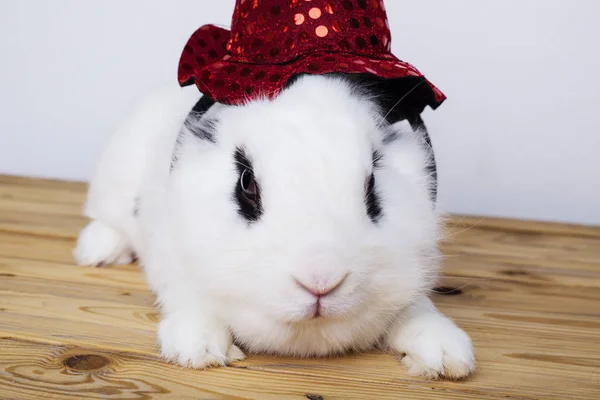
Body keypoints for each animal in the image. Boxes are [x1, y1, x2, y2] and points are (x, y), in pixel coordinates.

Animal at [75, 74, 476, 378]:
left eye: (372, 184)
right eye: (246, 182)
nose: (320, 280)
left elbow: (417, 310)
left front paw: (446, 355)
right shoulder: (173, 260)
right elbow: (188, 300)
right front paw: (199, 349)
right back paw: (97, 252)